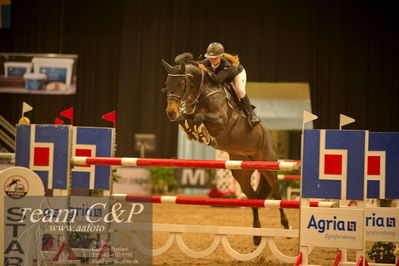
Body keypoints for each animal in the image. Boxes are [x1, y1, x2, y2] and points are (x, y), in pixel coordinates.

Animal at [161, 57, 290, 244]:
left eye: (181, 83)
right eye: (166, 83)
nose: (170, 112)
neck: (202, 93)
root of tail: (268, 135)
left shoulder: (220, 120)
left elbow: (199, 117)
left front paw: (202, 133)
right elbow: (187, 118)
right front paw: (192, 130)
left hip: (269, 167)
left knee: (278, 194)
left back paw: (286, 226)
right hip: (241, 174)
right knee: (253, 198)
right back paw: (257, 234)